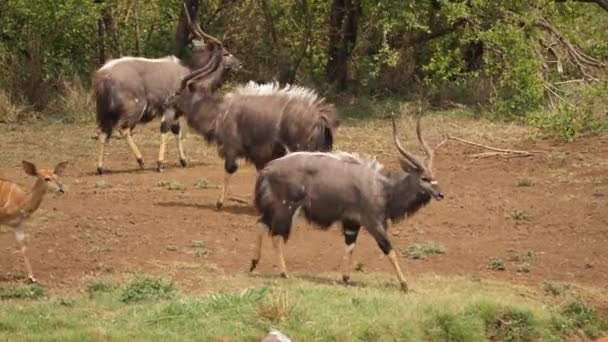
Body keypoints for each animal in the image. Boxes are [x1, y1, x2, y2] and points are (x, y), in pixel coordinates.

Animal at [249, 115, 444, 292]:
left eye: (433, 175)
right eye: (424, 178)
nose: (441, 194)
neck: (383, 188)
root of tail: (267, 169)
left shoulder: (351, 223)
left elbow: (349, 247)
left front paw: (346, 278)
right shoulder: (373, 223)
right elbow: (388, 248)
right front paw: (404, 284)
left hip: (276, 208)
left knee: (261, 223)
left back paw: (253, 263)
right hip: (286, 208)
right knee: (276, 235)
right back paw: (284, 273)